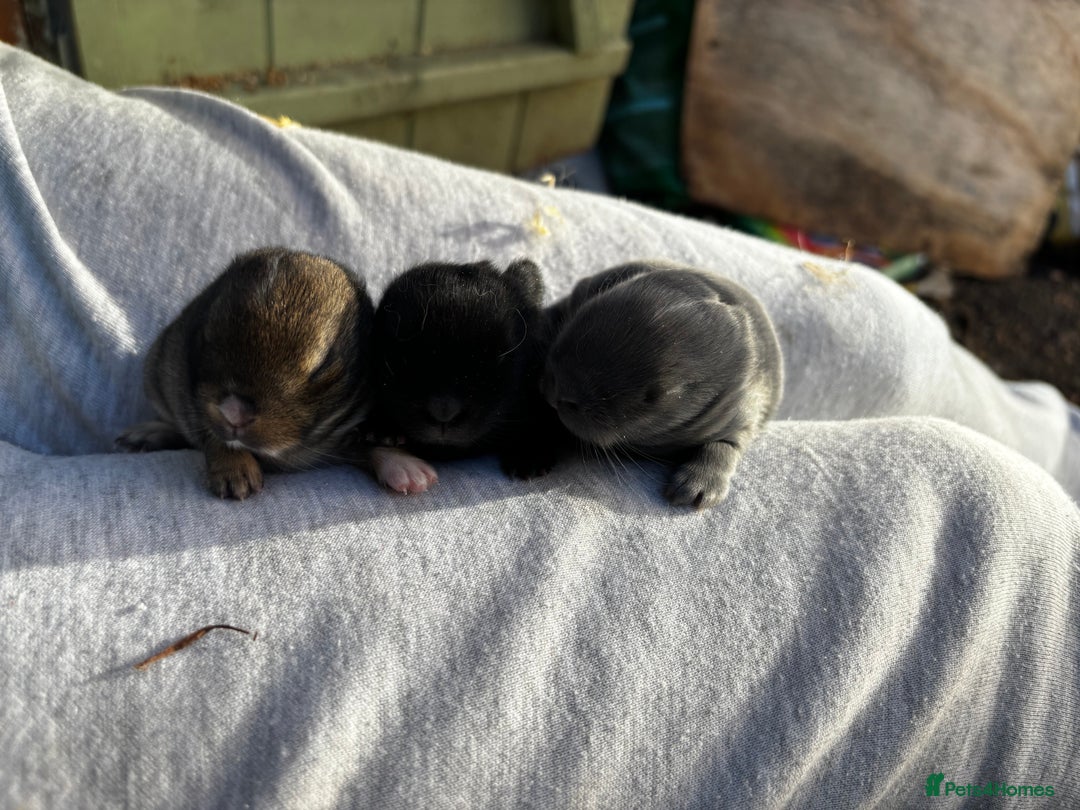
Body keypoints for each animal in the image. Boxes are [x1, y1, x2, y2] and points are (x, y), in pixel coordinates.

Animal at [116, 247, 437, 499]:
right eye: (205, 337)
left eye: (322, 365)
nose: (234, 412)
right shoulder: (197, 403)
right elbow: (216, 438)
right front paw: (236, 474)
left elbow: (368, 444)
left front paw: (409, 471)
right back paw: (143, 434)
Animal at [542, 260, 783, 509]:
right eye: (587, 309)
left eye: (653, 397)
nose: (558, 390)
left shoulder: (742, 411)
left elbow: (726, 444)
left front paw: (698, 484)